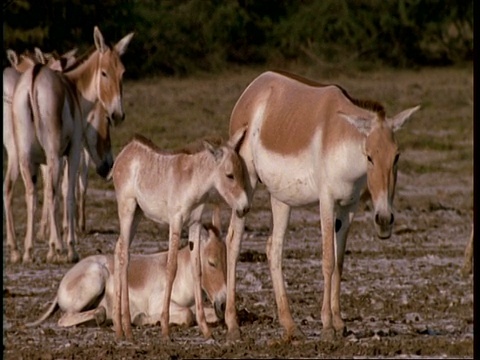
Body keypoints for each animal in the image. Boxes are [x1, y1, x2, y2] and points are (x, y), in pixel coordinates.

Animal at [12, 27, 133, 262]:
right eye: (104, 73)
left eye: (122, 73)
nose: (118, 114)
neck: (74, 88)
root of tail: (34, 77)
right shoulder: (73, 150)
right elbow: (67, 193)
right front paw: (67, 247)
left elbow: (51, 193)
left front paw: (49, 247)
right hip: (52, 153)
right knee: (52, 193)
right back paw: (60, 247)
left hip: (24, 155)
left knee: (31, 193)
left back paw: (28, 251)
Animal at [26, 214, 227, 330]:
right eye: (211, 263)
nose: (223, 304)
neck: (181, 274)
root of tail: (66, 278)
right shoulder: (159, 303)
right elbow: (187, 315)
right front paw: (142, 318)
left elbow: (206, 315)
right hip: (95, 279)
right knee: (65, 319)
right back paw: (103, 318)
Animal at [110, 129, 249, 340]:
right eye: (230, 175)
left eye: (242, 174)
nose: (244, 208)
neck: (193, 182)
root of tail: (128, 149)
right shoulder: (175, 222)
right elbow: (171, 267)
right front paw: (165, 329)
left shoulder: (195, 224)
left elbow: (196, 269)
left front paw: (205, 329)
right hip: (127, 209)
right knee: (125, 255)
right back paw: (127, 327)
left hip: (137, 214)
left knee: (118, 248)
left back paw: (119, 328)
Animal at [223, 71, 418, 344]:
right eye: (369, 155)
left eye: (397, 156)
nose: (383, 219)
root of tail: (256, 84)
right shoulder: (326, 201)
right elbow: (327, 260)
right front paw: (327, 326)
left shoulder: (349, 206)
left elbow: (339, 262)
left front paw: (340, 323)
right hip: (246, 185)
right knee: (233, 241)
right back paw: (233, 326)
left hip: (281, 197)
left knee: (274, 248)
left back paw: (290, 326)